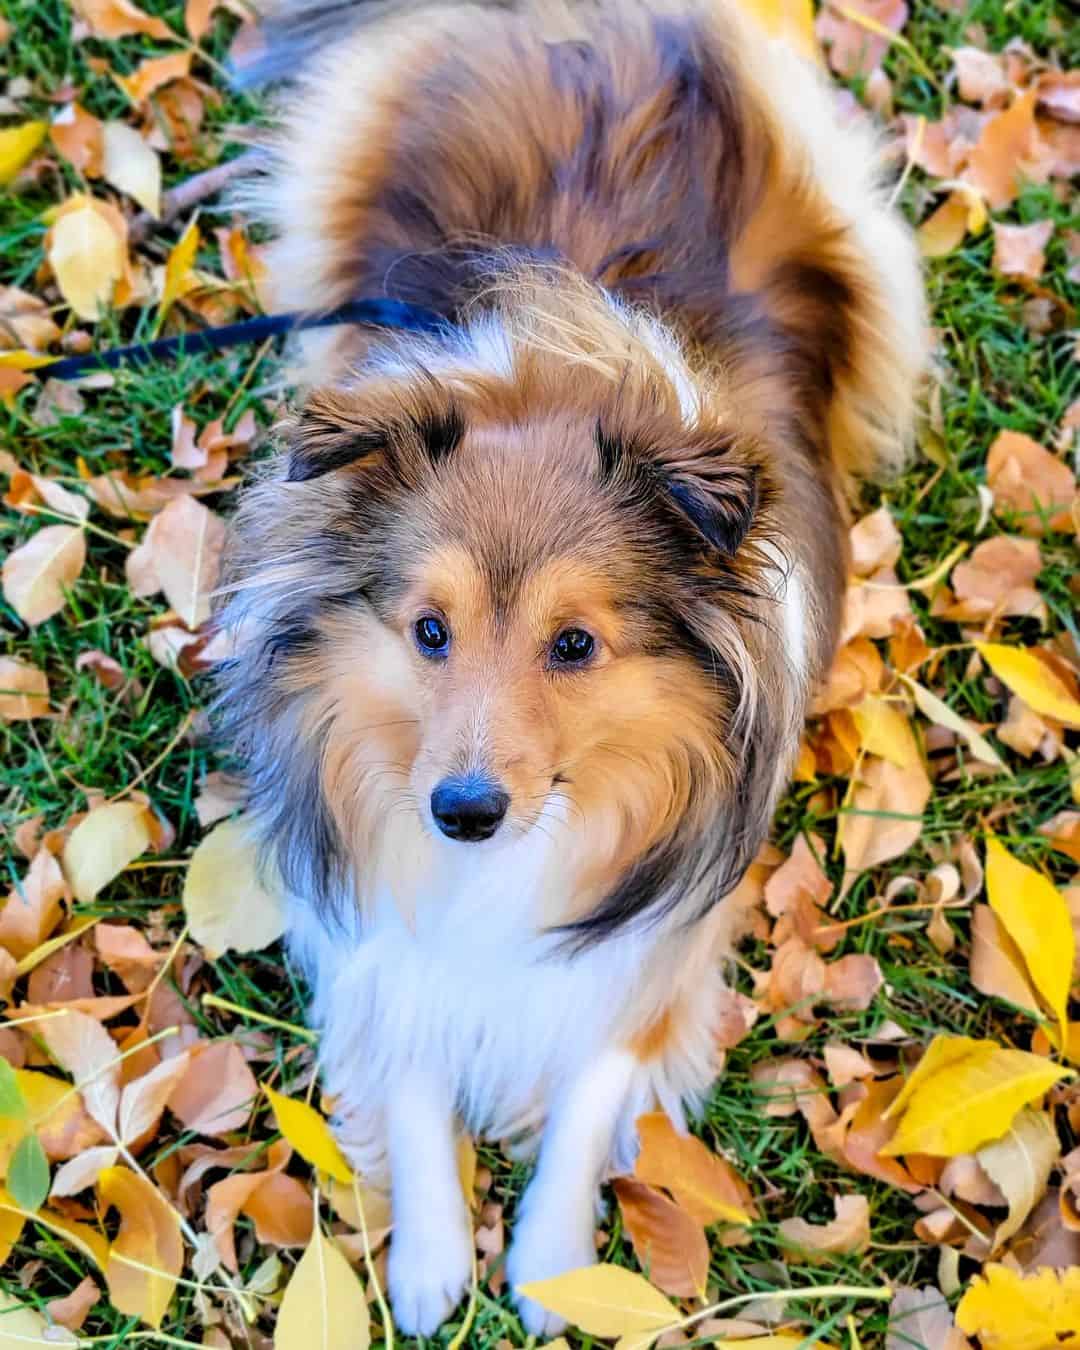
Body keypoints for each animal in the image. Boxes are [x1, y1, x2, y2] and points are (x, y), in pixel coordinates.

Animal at [214, 0, 923, 1328]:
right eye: (428, 632)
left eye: (576, 644)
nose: (464, 812)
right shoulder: (380, 929)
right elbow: (415, 1051)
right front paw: (432, 1254)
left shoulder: (657, 945)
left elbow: (593, 1082)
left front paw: (555, 1266)